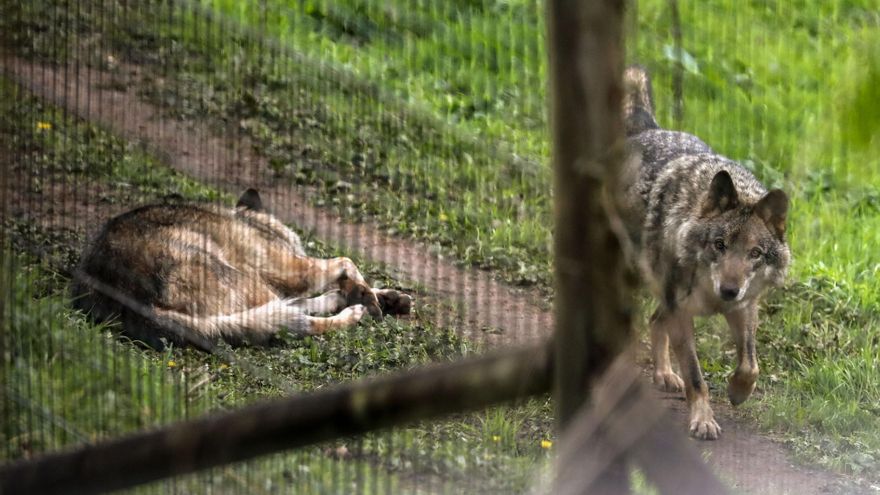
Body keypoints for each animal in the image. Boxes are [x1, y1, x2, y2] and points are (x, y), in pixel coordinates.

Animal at [71, 189, 412, 350]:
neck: (254, 223)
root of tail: (136, 303)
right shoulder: (294, 270)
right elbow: (346, 263)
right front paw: (368, 297)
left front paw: (387, 297)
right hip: (248, 280)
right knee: (298, 320)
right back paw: (352, 312)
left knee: (289, 312)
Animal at [619, 66, 790, 439]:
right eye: (719, 244)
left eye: (756, 253)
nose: (728, 290)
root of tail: (649, 129)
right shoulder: (683, 312)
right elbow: (696, 377)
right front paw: (703, 419)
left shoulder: (744, 308)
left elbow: (750, 365)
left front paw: (737, 392)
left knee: (654, 321)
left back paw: (665, 375)